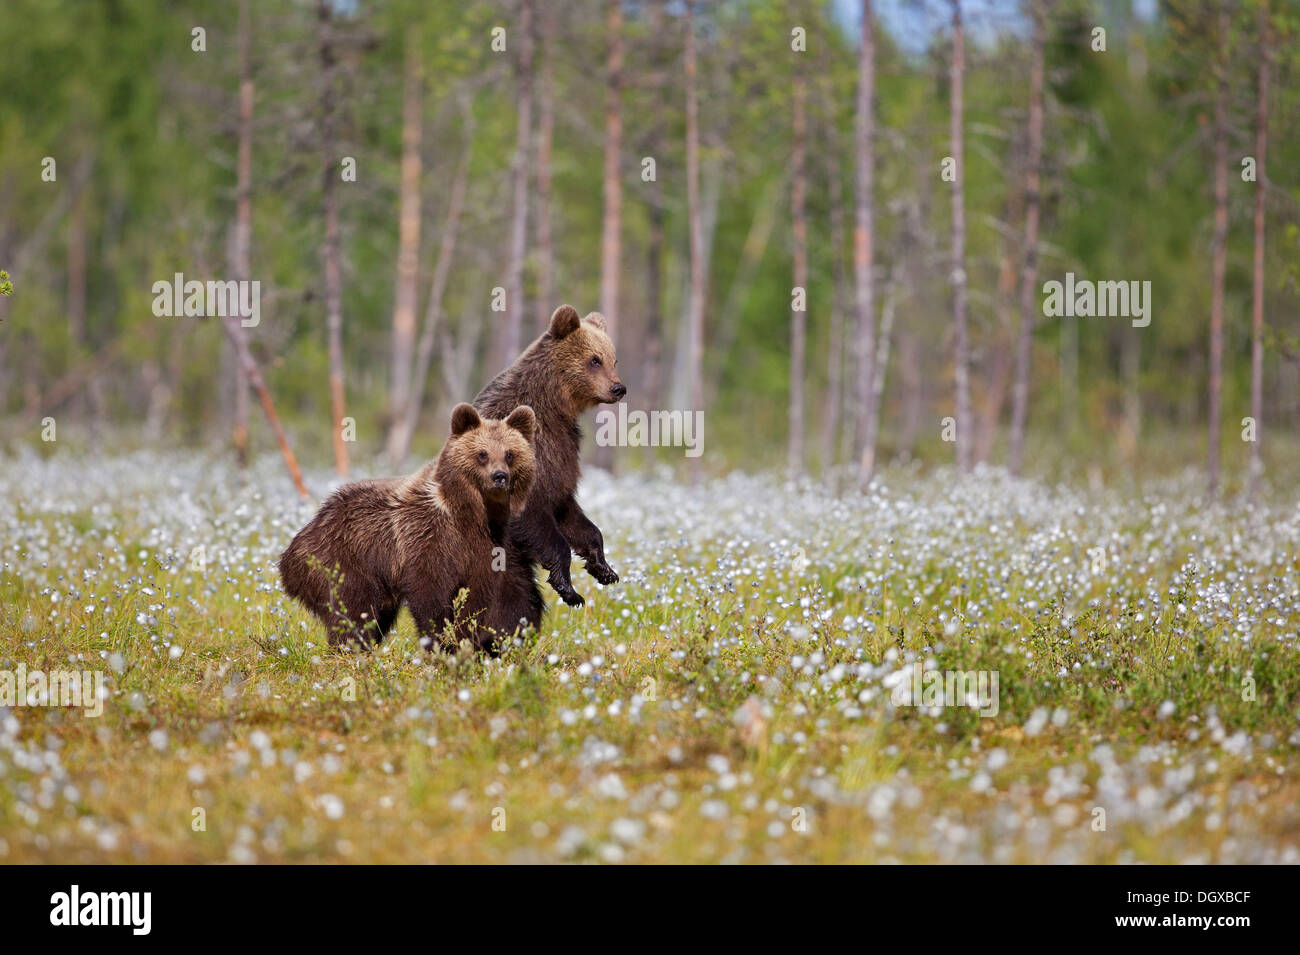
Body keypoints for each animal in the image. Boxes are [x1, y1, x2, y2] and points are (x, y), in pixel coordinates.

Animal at [276, 402, 535, 649]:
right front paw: (440, 642)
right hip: (341, 558)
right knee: (354, 606)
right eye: (482, 454)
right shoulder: (425, 535)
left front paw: (466, 640)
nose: (499, 476)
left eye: (510, 454)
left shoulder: (486, 546)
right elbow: (429, 592)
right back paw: (350, 646)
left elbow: (477, 597)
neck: (471, 515)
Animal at [475, 306, 626, 634]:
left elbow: (572, 513)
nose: (618, 388)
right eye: (594, 359)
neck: (554, 407)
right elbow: (537, 520)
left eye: (613, 359)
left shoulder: (562, 459)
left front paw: (603, 567)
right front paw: (569, 589)